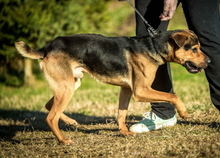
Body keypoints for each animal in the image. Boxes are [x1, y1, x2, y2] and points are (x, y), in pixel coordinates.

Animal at [15, 29, 210, 144]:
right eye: (194, 49)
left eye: (199, 47)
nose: (209, 62)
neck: (153, 47)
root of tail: (47, 47)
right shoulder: (140, 91)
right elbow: (172, 96)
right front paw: (183, 112)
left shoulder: (127, 90)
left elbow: (121, 114)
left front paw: (124, 132)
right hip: (67, 87)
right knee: (51, 117)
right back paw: (63, 140)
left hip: (71, 83)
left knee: (50, 106)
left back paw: (70, 122)